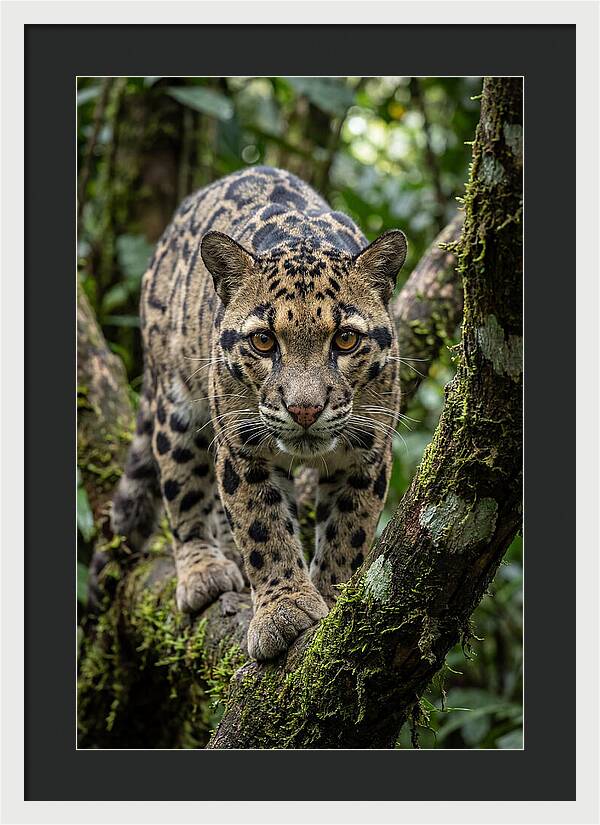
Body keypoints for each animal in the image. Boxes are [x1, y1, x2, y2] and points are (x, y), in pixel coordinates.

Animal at [111, 165, 407, 661]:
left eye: (346, 340)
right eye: (264, 341)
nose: (305, 408)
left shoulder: (367, 450)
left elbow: (349, 530)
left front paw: (333, 596)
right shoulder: (242, 447)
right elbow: (262, 528)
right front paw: (284, 611)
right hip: (176, 405)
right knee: (183, 489)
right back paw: (204, 570)